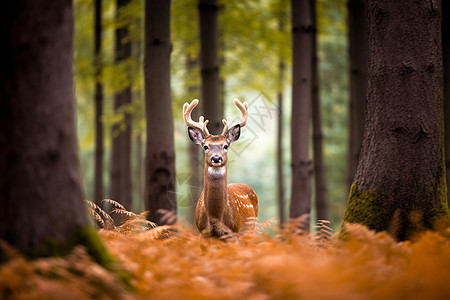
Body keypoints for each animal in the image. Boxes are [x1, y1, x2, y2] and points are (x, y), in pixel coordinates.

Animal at [183, 99, 258, 241]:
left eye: (225, 146)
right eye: (206, 146)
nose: (216, 158)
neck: (215, 217)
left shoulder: (233, 233)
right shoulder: (203, 233)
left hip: (249, 231)